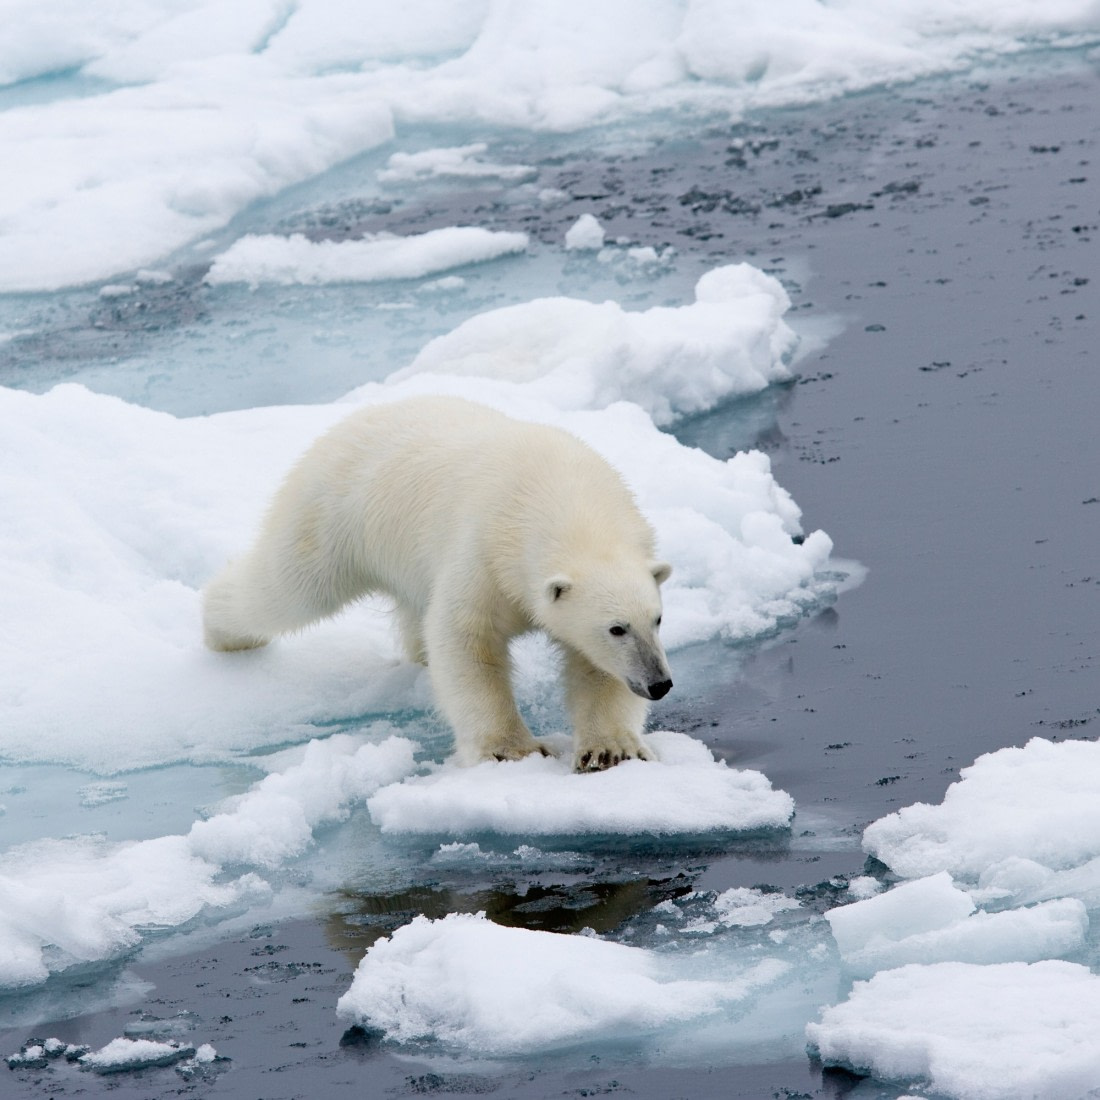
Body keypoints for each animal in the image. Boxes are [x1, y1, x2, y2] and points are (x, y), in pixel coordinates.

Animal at [203, 395, 673, 772]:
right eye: (616, 628)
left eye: (658, 620)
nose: (659, 683)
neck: (565, 500)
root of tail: (353, 418)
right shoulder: (483, 551)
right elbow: (466, 638)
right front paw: (511, 750)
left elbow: (596, 669)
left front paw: (610, 750)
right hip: (332, 514)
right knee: (287, 590)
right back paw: (222, 632)